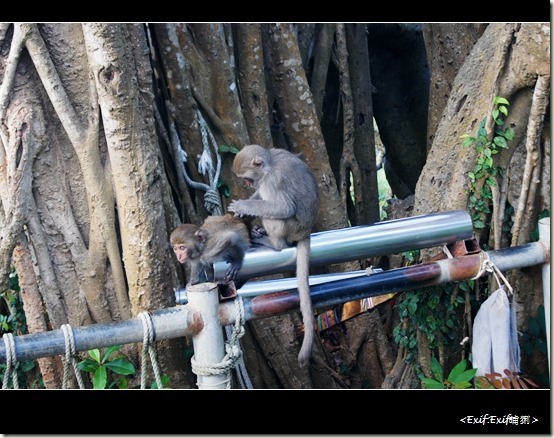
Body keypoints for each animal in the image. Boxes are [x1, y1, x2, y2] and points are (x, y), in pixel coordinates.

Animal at [225, 144, 320, 366]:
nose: (248, 184)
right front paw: (243, 209)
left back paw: (274, 242)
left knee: (277, 216)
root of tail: (305, 232)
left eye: (247, 178)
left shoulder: (271, 181)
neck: (270, 165)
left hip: (292, 228)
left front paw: (243, 206)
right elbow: (261, 196)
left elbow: (282, 207)